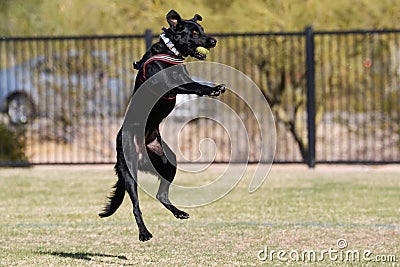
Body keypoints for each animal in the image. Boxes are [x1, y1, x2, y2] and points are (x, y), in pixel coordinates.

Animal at [99, 9, 227, 242]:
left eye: (202, 29)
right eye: (194, 32)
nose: (213, 41)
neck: (171, 51)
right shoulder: (171, 84)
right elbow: (196, 85)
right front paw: (212, 89)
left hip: (168, 161)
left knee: (161, 194)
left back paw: (179, 212)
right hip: (129, 169)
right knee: (136, 206)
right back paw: (144, 233)